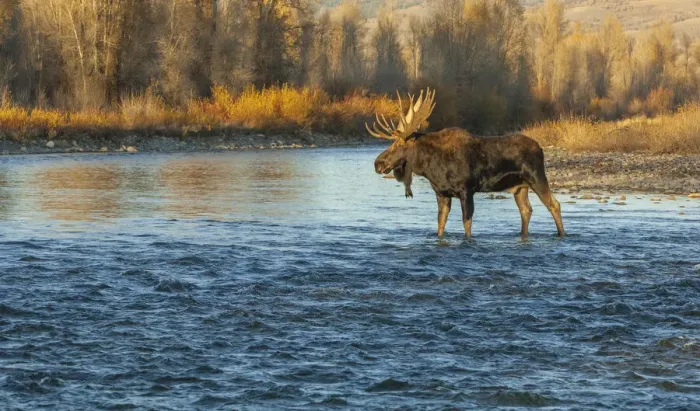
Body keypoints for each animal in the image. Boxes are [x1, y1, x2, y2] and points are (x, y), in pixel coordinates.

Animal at [369, 88, 565, 238]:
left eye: (399, 144)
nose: (378, 163)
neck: (430, 168)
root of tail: (540, 148)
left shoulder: (466, 190)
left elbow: (467, 224)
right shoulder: (441, 193)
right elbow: (440, 225)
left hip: (537, 177)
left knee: (554, 204)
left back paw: (561, 235)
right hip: (519, 187)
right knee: (526, 210)